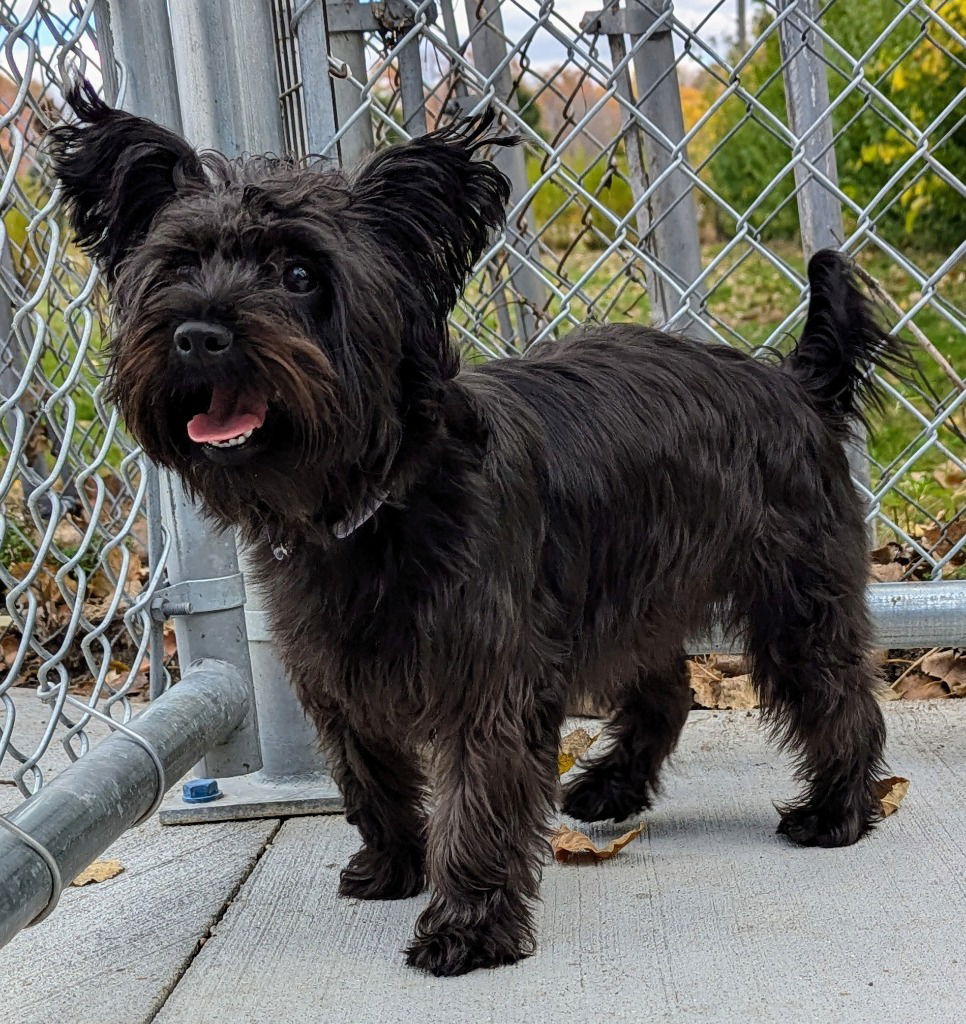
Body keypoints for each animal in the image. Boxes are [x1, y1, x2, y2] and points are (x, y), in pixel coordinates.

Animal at [50, 81, 905, 974]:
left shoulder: (487, 674)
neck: (378, 500)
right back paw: (612, 786)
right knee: (666, 691)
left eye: (299, 274)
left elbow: (479, 797)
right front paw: (395, 865)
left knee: (840, 695)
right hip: (632, 596)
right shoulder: (335, 671)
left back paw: (838, 811)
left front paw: (467, 921)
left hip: (794, 599)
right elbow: (370, 775)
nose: (198, 333)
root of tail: (795, 382)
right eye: (179, 266)